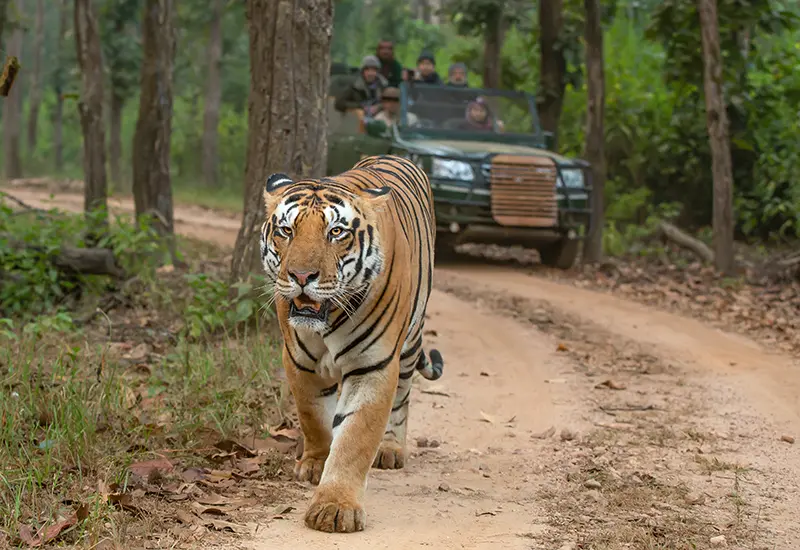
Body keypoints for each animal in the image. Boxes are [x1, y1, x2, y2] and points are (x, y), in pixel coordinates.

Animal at [260, 155, 444, 536]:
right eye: (286, 231)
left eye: (336, 232)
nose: (301, 277)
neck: (327, 320)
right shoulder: (299, 361)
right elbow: (313, 417)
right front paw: (315, 464)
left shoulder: (372, 366)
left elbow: (355, 437)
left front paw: (334, 507)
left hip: (409, 345)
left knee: (403, 397)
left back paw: (391, 449)